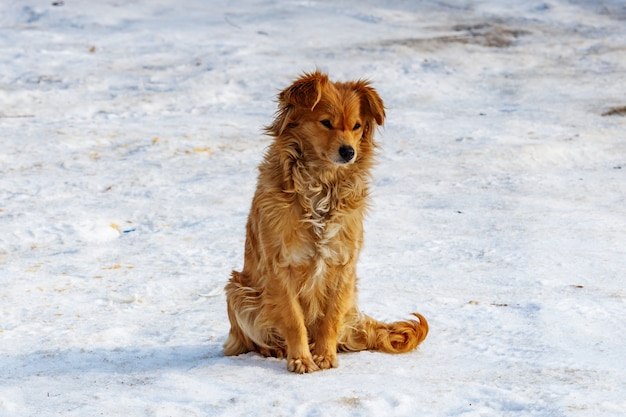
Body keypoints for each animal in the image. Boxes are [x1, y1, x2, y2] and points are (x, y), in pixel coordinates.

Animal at [222, 70, 426, 372]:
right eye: (326, 122)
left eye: (356, 126)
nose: (349, 152)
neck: (321, 185)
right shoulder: (280, 265)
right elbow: (293, 319)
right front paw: (301, 359)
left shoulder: (343, 264)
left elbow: (330, 319)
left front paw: (324, 355)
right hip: (238, 290)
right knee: (249, 339)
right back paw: (275, 349)